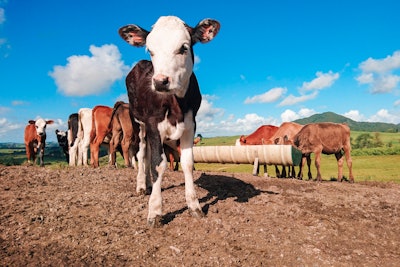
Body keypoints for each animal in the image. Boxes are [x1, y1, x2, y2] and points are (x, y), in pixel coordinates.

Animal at [119, 15, 220, 227]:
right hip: (139, 124)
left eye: (183, 47)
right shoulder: (152, 124)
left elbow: (187, 163)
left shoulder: (190, 124)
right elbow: (158, 164)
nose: (159, 81)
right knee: (142, 154)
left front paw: (194, 206)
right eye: (150, 50)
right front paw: (155, 211)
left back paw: (149, 184)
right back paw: (142, 186)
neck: (176, 104)